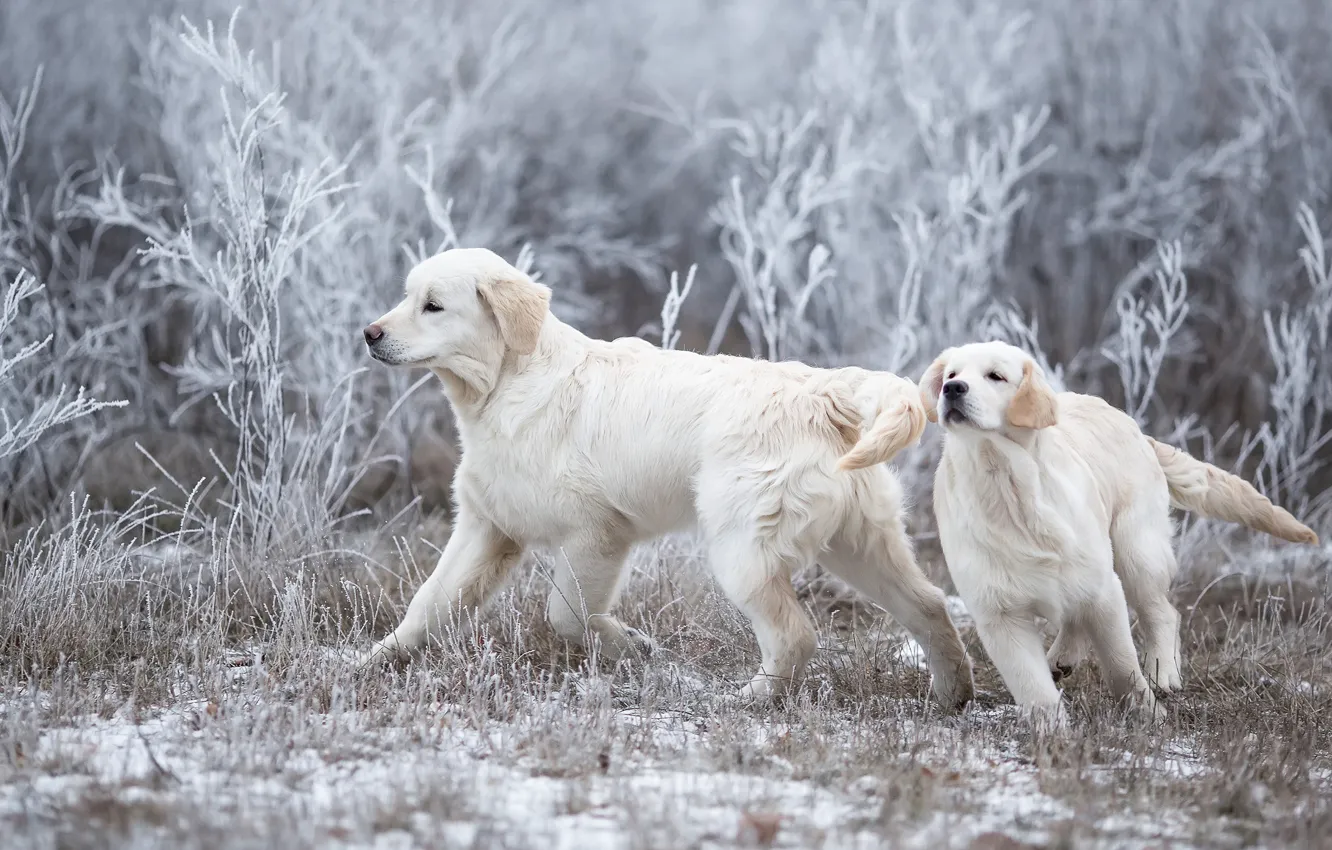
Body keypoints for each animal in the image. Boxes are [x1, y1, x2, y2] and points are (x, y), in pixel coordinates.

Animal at [359, 250, 975, 708]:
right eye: (407, 297)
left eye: (433, 306)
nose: (369, 333)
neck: (508, 384)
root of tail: (825, 392)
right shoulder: (488, 528)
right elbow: (427, 605)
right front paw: (369, 662)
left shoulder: (595, 533)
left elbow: (568, 615)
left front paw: (632, 647)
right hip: (860, 542)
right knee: (929, 605)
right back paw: (953, 694)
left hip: (742, 549)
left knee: (795, 634)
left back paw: (749, 698)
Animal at [916, 343, 1310, 724]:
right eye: (951, 374)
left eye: (995, 376)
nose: (953, 389)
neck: (1005, 484)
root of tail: (1135, 428)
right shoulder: (998, 612)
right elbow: (1033, 686)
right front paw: (1051, 731)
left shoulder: (1103, 589)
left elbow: (1121, 663)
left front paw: (1146, 713)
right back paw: (1062, 658)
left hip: (1136, 552)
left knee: (1163, 613)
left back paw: (1163, 672)